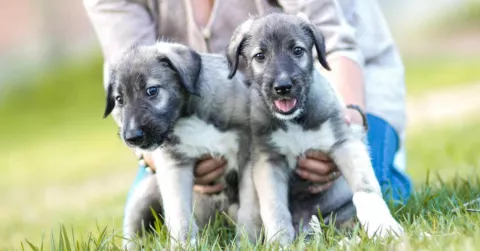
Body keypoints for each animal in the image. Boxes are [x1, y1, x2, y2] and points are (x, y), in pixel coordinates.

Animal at [104, 41, 251, 249]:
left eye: (152, 91)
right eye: (119, 99)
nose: (132, 137)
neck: (186, 116)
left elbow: (252, 206)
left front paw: (249, 240)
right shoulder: (173, 166)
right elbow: (179, 213)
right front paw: (185, 245)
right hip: (142, 197)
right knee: (133, 233)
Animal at [227, 12, 404, 246]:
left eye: (297, 50)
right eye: (260, 56)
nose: (283, 87)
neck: (294, 121)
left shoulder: (344, 143)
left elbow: (365, 188)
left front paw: (384, 227)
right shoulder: (268, 161)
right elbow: (274, 208)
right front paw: (279, 243)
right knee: (250, 214)